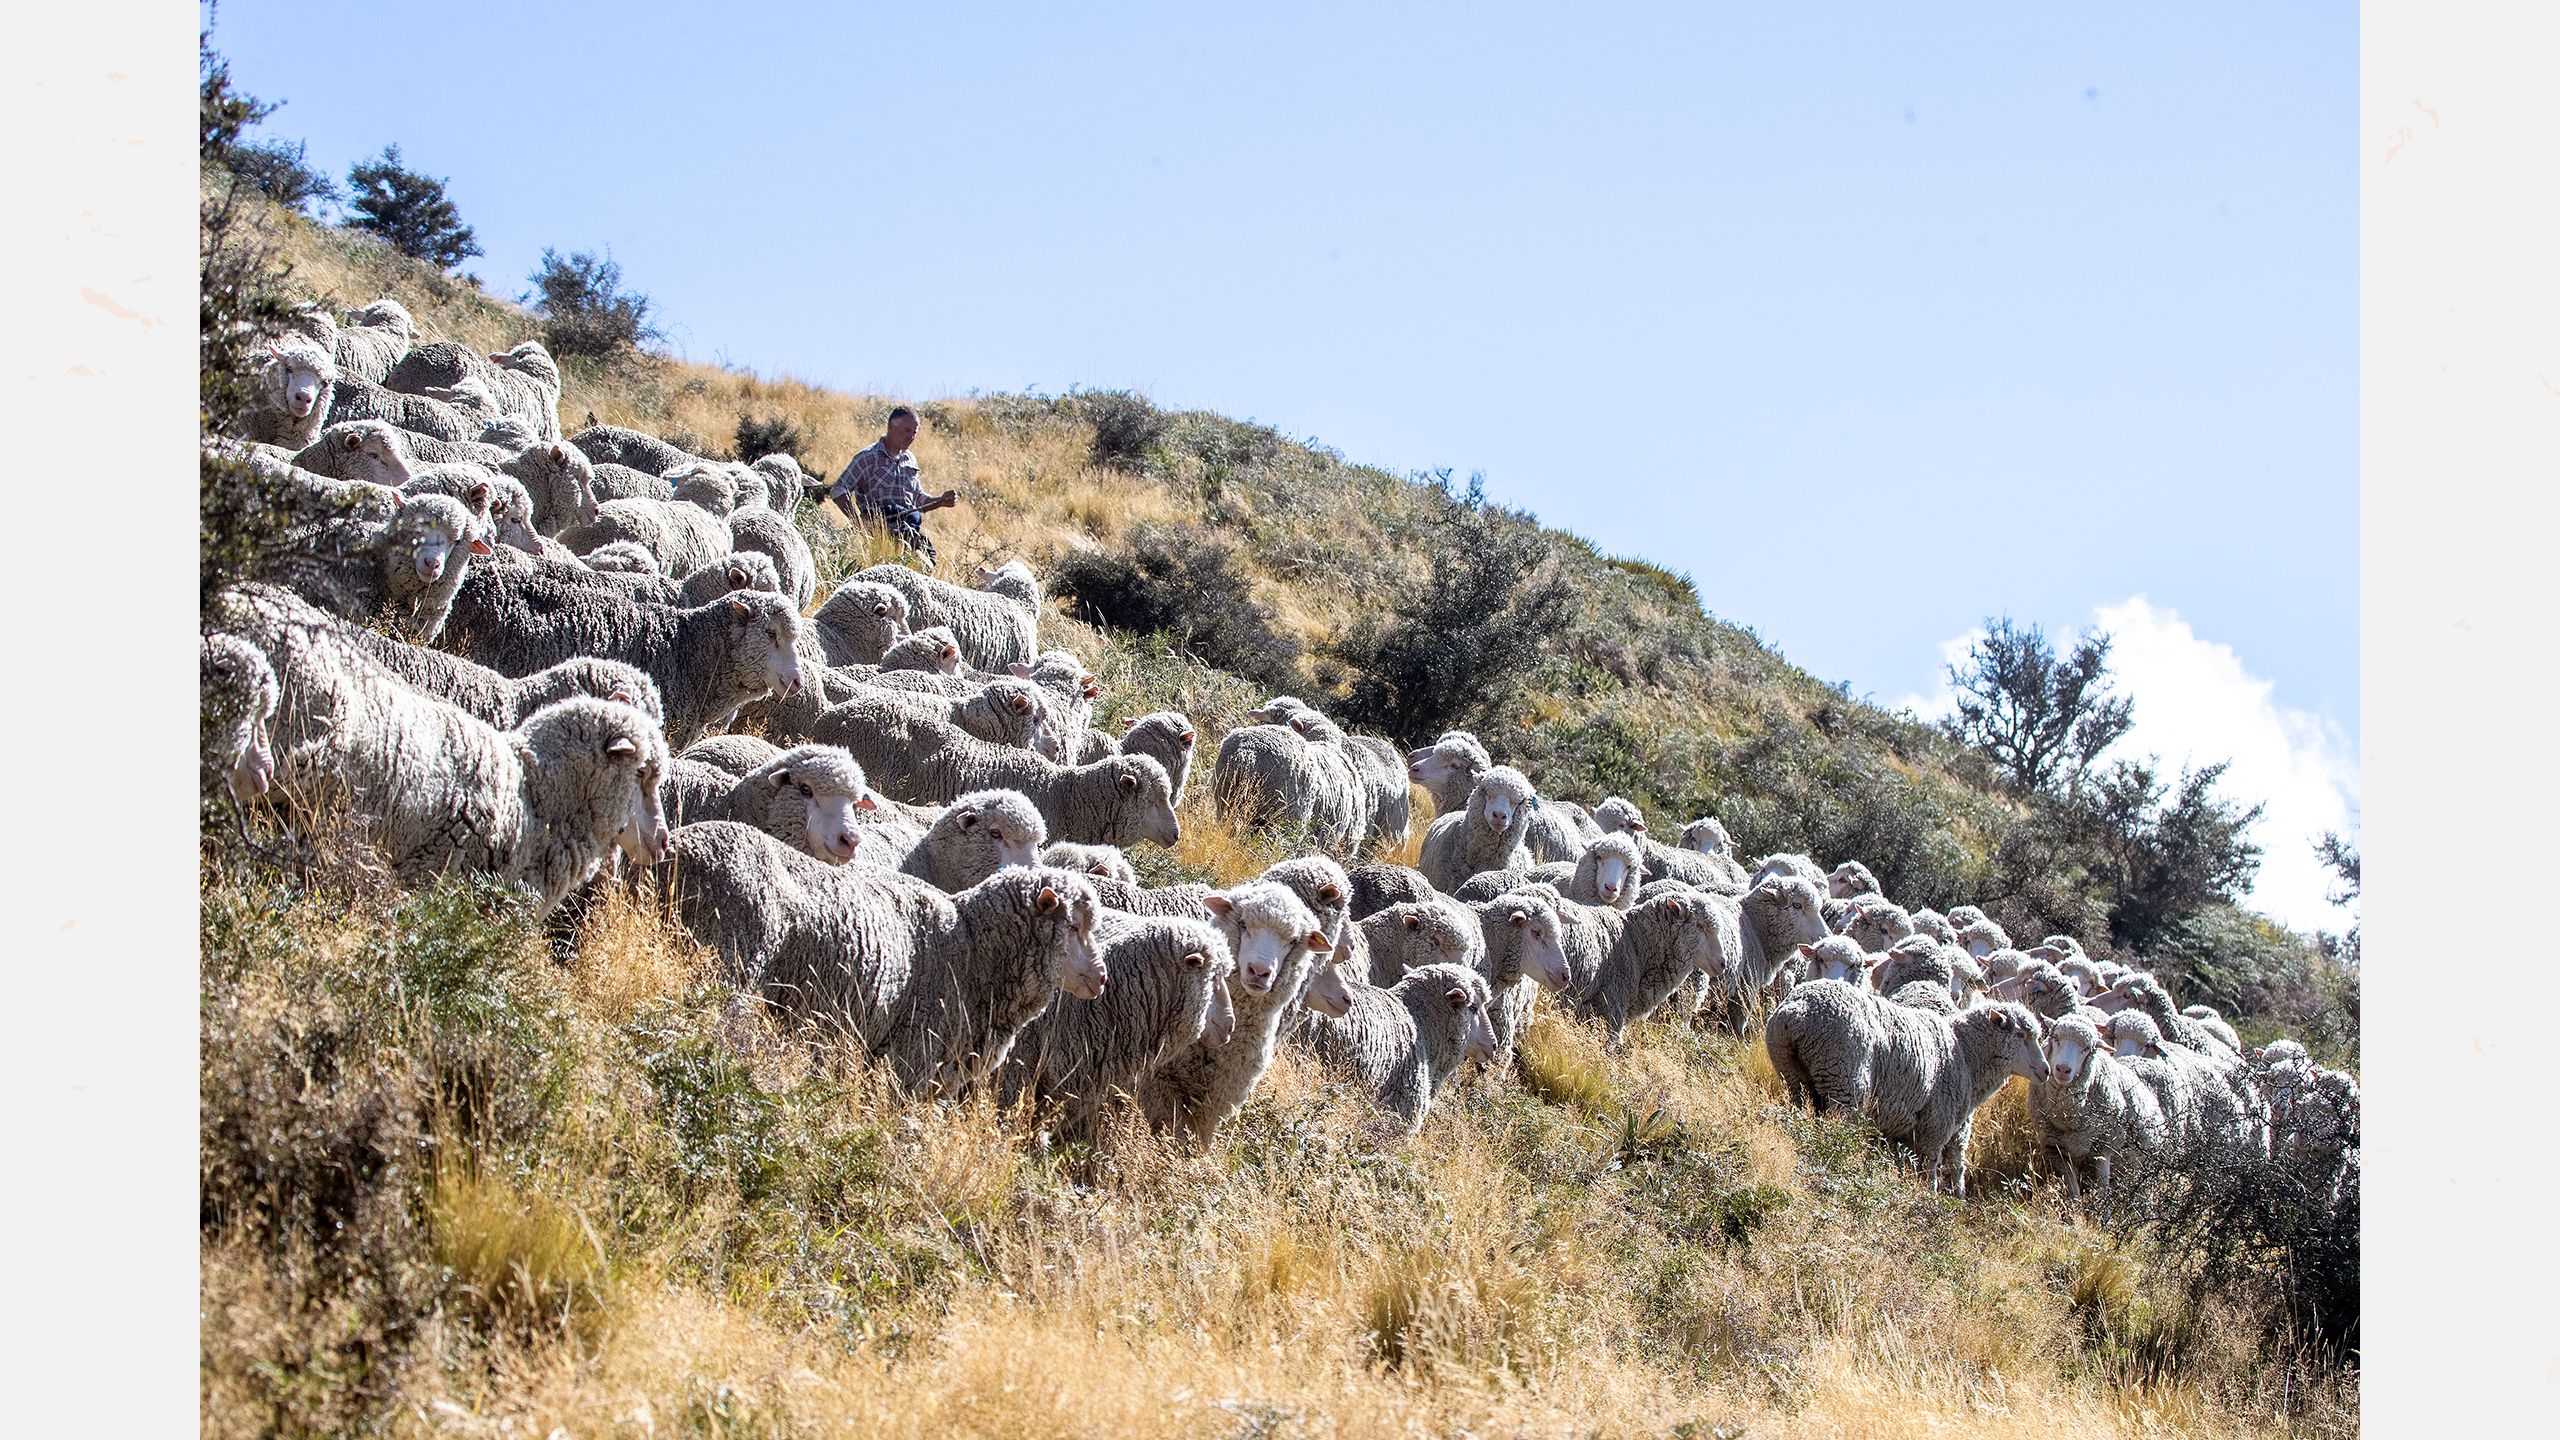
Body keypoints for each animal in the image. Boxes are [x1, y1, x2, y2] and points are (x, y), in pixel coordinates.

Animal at [1765, 983, 2051, 1196]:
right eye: (2022, 1035)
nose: (2046, 1070)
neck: (1966, 1054)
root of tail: (1796, 1010)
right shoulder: (1937, 1124)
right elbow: (1939, 1167)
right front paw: (1936, 1199)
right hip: (1842, 1082)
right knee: (1833, 1133)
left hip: (1794, 1077)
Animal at [2030, 1013, 2170, 1208]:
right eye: (2055, 1038)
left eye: (2087, 1048)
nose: (2063, 1069)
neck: (2065, 1116)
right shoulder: (2057, 1150)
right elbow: (2074, 1192)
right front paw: (2075, 1213)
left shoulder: (2104, 1147)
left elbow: (2103, 1188)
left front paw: (2103, 1215)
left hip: (2148, 1162)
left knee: (2146, 1192)